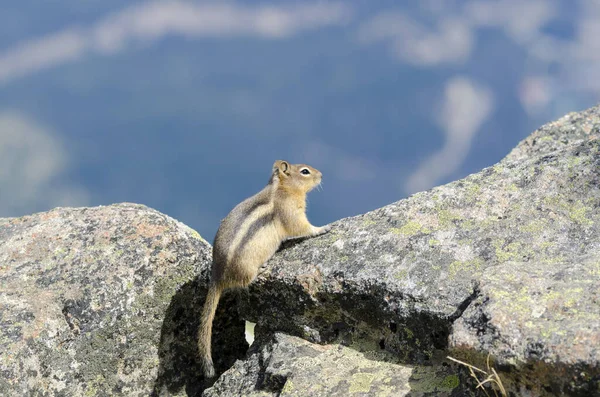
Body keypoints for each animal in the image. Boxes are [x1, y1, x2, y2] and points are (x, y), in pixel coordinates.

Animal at [198, 159, 330, 378]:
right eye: (305, 171)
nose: (322, 175)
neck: (281, 189)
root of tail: (216, 276)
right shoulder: (291, 212)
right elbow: (301, 227)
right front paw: (322, 229)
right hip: (246, 268)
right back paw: (262, 270)